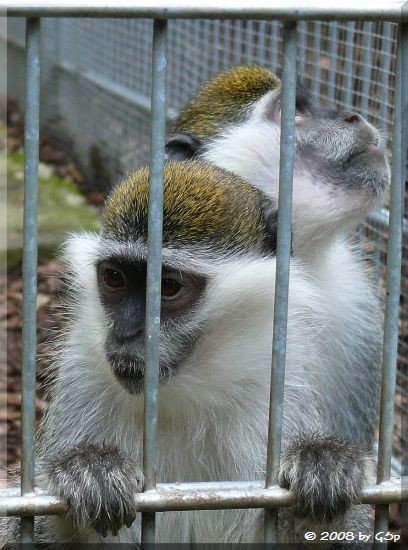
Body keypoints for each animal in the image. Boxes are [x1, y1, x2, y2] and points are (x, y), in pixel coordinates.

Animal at [3, 161, 380, 548]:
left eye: (168, 286)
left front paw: (322, 464)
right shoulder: (83, 379)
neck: (186, 394)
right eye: (114, 278)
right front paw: (89, 470)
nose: (126, 333)